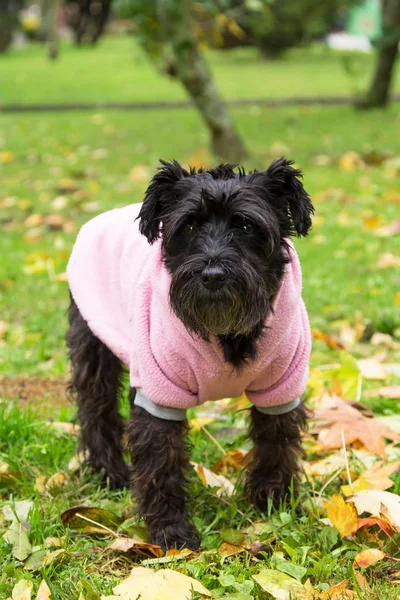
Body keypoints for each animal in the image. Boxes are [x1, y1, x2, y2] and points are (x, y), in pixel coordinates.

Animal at [67, 158, 314, 548]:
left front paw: (274, 502)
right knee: (97, 411)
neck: (226, 334)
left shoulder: (281, 387)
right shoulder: (160, 391)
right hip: (94, 344)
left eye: (246, 226)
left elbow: (277, 442)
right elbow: (161, 461)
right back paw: (110, 473)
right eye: (189, 226)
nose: (212, 274)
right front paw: (170, 529)